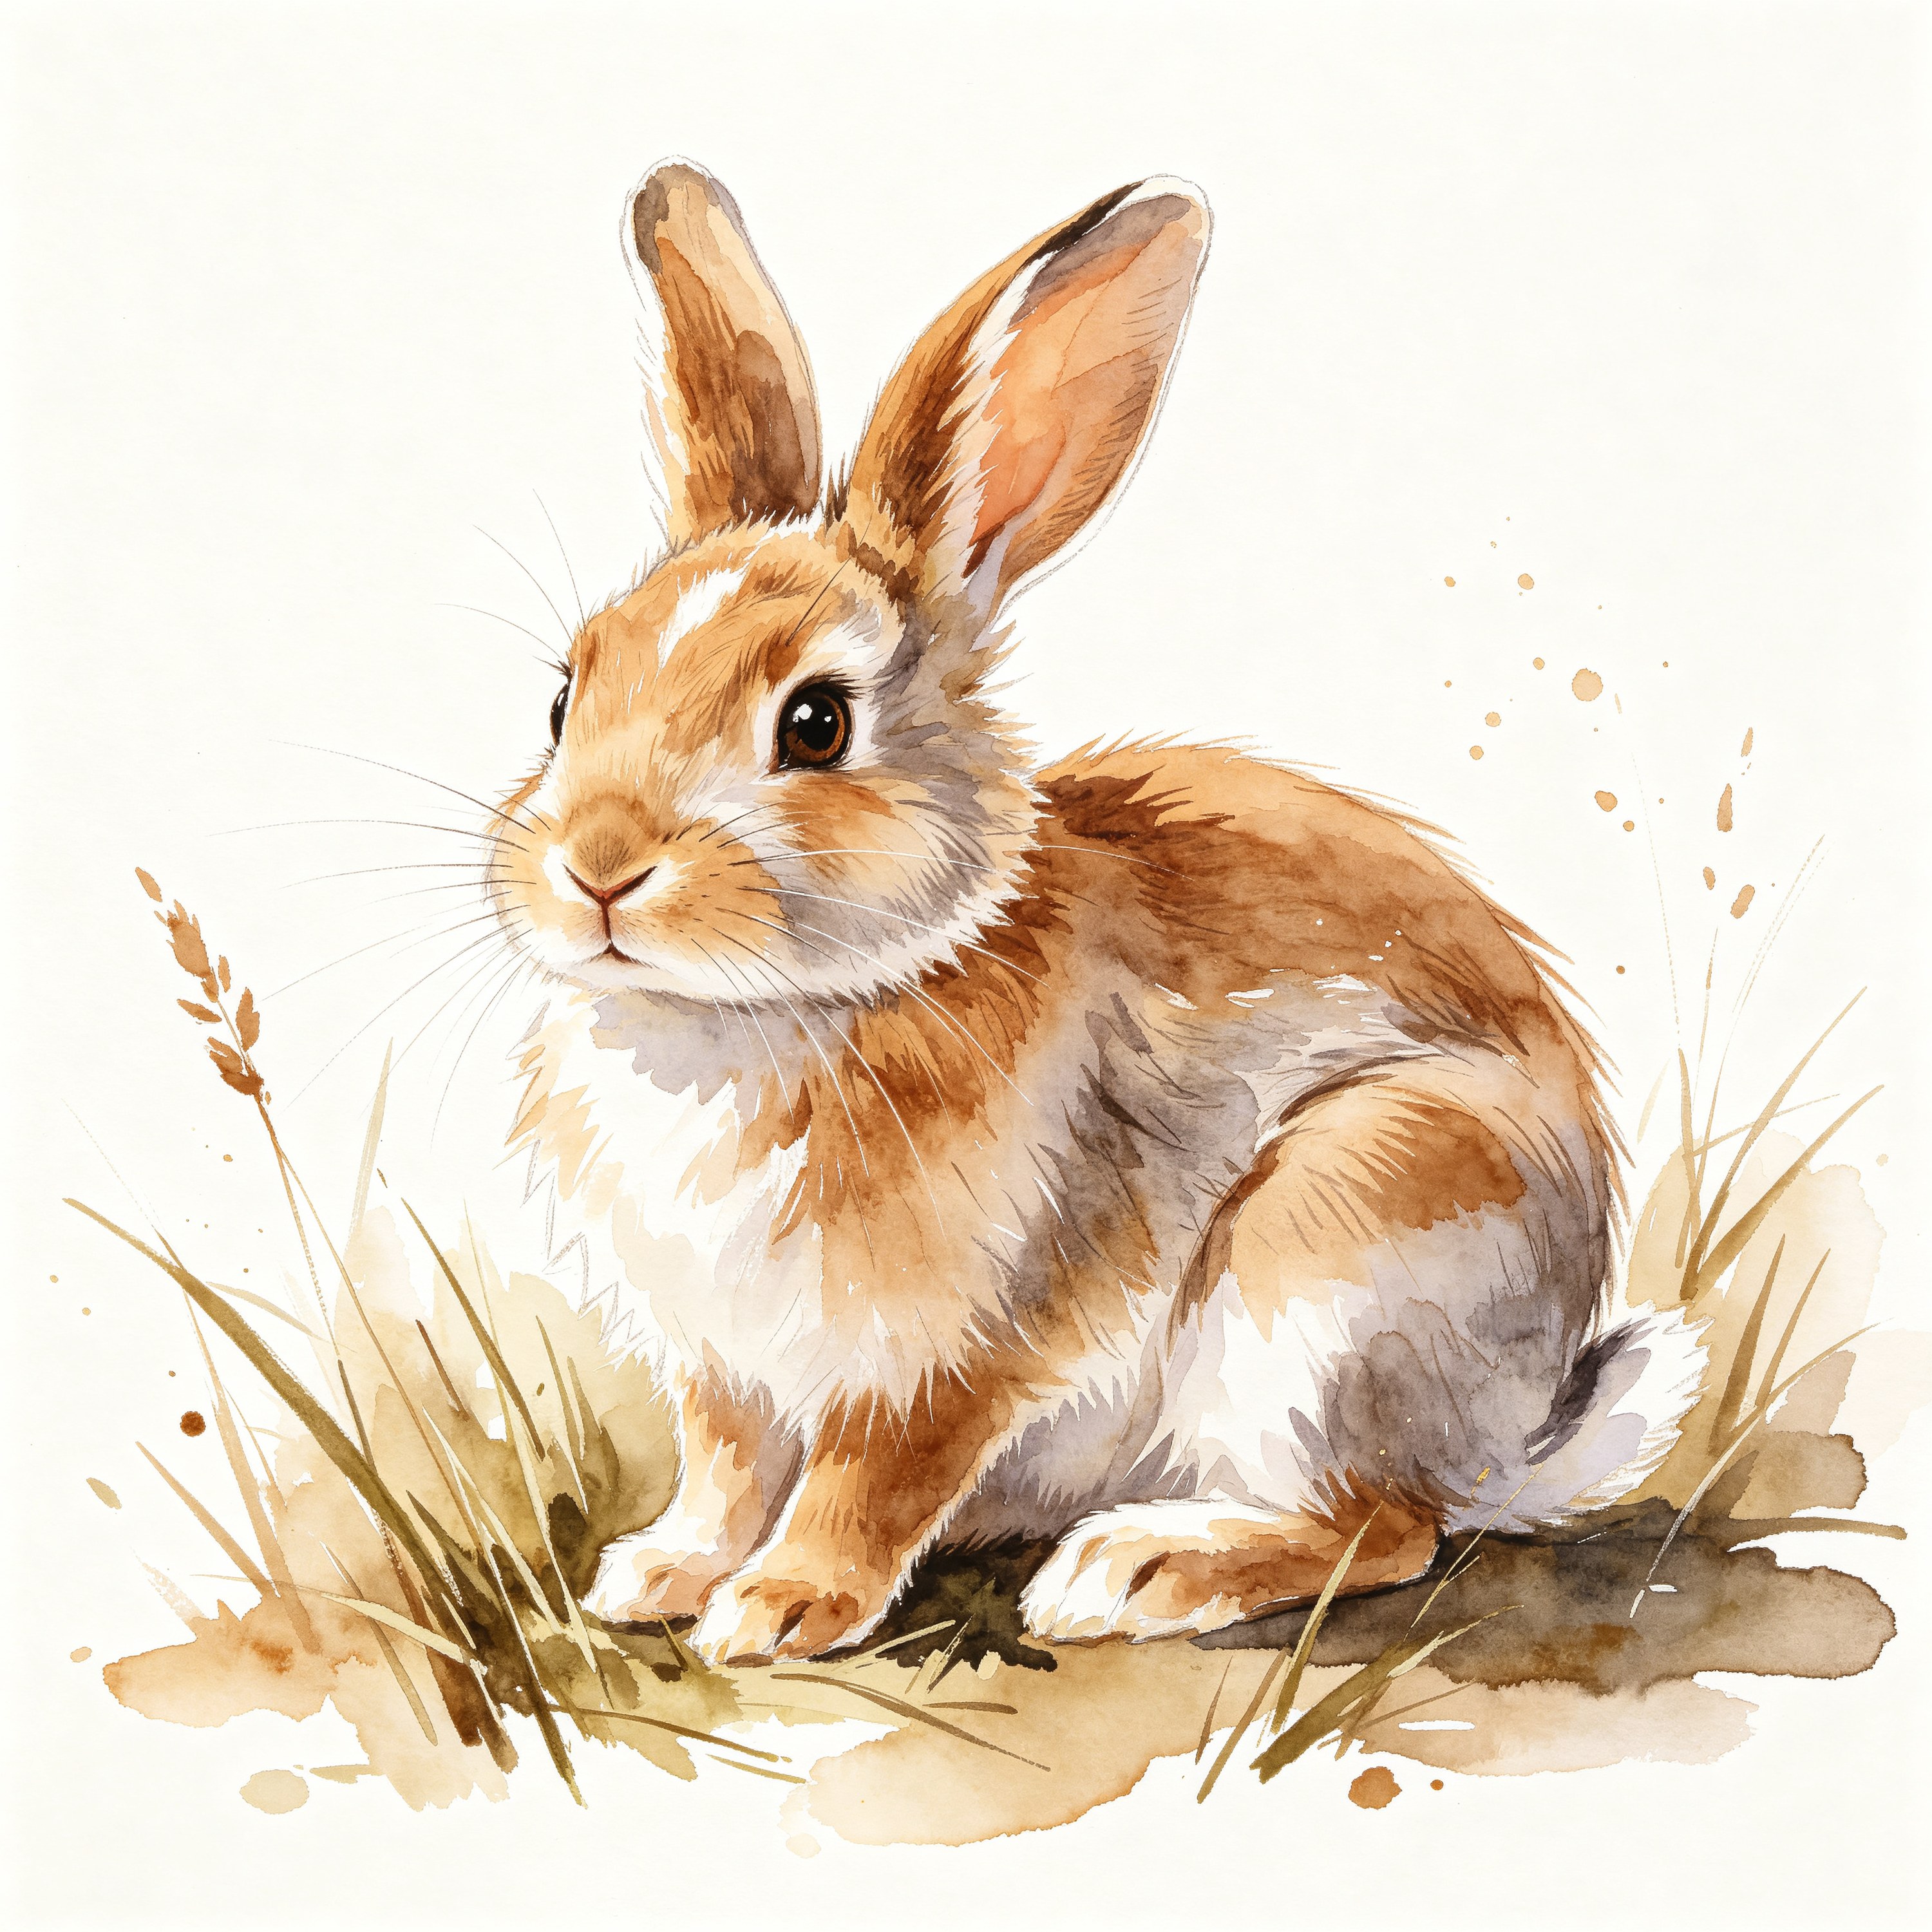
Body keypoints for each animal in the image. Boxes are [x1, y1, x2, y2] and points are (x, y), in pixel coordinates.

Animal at [485, 160, 1704, 1665]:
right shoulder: (725, 1362)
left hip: (1344, 1245)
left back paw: (1141, 1570)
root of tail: (1518, 1439)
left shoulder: (961, 1340)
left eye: (817, 724)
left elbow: (869, 1482)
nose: (597, 867)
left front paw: (781, 1607)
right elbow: (725, 1466)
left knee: (1383, 1527)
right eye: (564, 699)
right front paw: (662, 1573)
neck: (772, 1013)